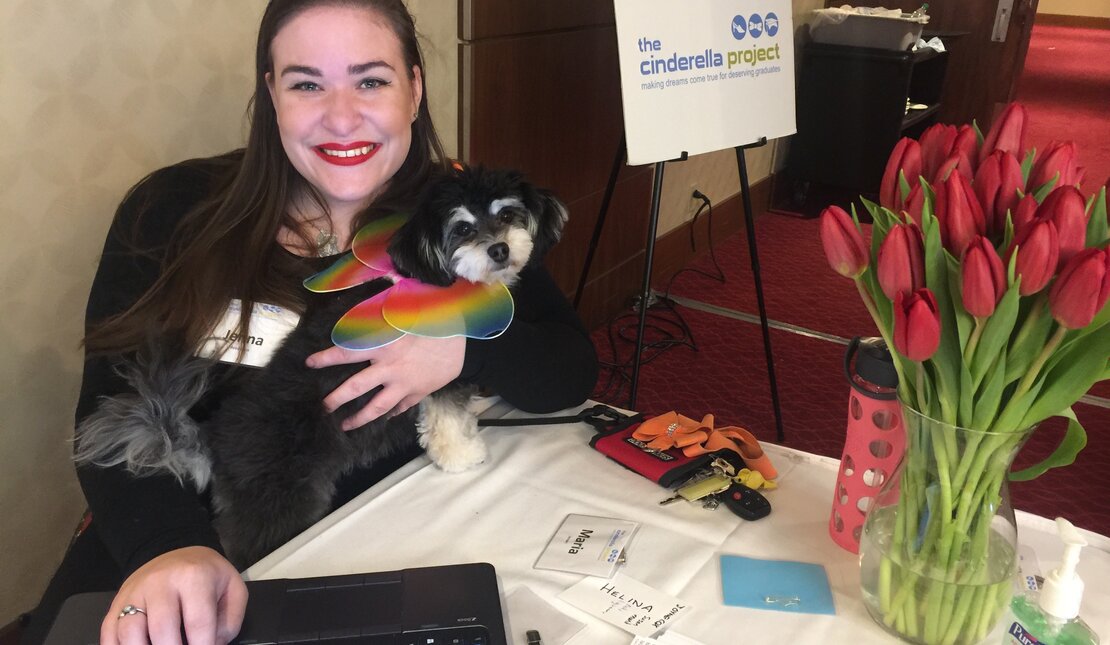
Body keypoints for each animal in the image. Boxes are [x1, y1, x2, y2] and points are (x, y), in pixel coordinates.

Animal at [73, 164, 568, 563]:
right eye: (462, 229)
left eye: (507, 215)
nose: (499, 250)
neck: (431, 275)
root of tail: (212, 438)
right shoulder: (442, 370)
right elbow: (446, 419)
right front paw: (463, 456)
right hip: (281, 500)